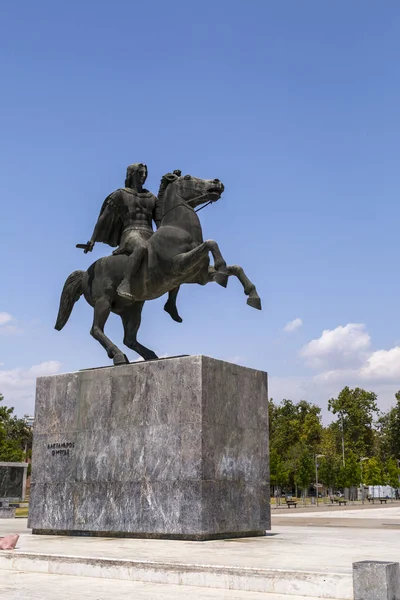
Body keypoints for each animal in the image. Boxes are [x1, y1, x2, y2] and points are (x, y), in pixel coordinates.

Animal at [55, 171, 262, 364]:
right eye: (188, 177)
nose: (217, 182)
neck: (179, 229)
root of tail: (85, 274)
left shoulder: (197, 276)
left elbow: (235, 267)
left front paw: (251, 295)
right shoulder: (178, 264)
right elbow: (211, 243)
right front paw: (222, 270)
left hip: (133, 309)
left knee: (129, 338)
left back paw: (149, 354)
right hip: (103, 302)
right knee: (96, 329)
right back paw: (118, 356)